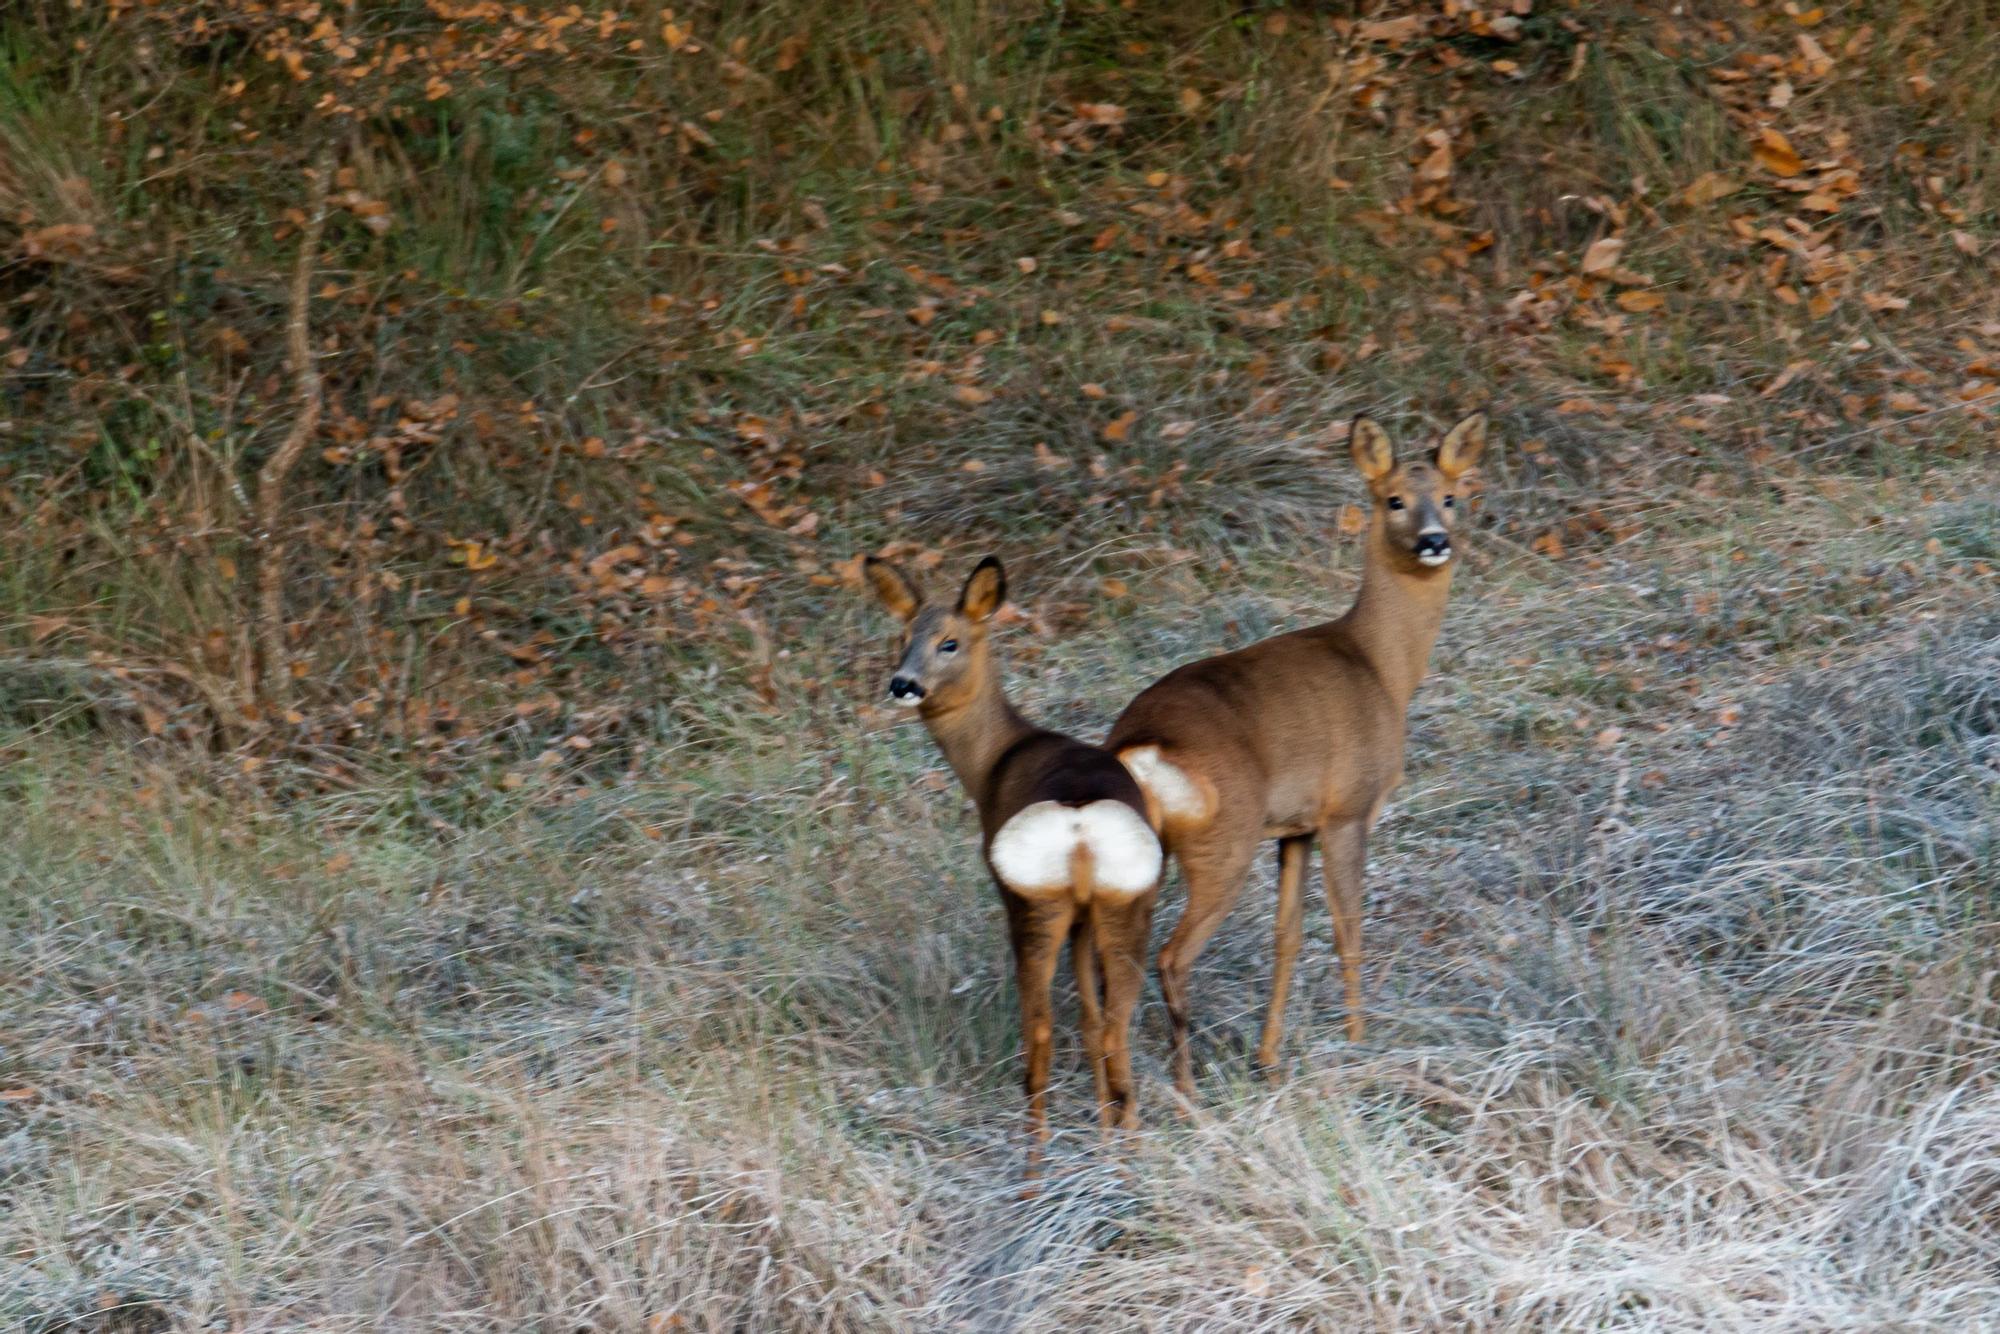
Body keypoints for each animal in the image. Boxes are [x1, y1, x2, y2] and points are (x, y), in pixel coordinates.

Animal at [856, 552, 1160, 1152]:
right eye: (901, 636)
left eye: (949, 642)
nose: (902, 683)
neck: (995, 760)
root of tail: (1079, 824)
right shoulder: (1086, 917)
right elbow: (1090, 1016)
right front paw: (1104, 1127)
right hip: (1126, 900)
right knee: (1113, 1023)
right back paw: (1126, 1146)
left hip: (1032, 898)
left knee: (1040, 1024)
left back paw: (1035, 1147)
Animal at [1112, 412, 1488, 1104]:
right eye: (1393, 499)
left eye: (1452, 497)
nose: (1433, 540)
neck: (1382, 667)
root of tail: (1142, 744)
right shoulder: (1348, 809)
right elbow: (1347, 928)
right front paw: (1360, 1042)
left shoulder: (1295, 827)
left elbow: (1286, 936)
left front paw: (1270, 1057)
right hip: (1222, 842)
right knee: (1171, 957)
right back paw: (1186, 1090)